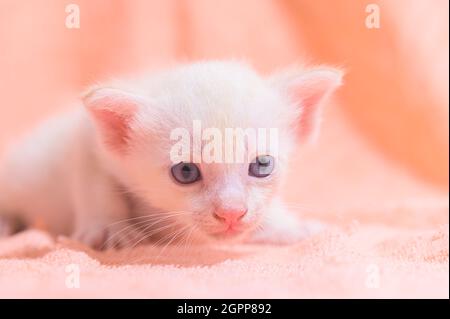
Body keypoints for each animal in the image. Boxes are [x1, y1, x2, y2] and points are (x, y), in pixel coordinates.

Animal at [0, 60, 342, 250]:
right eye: (186, 172)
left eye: (262, 165)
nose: (231, 213)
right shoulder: (86, 138)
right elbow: (95, 183)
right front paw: (110, 228)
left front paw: (290, 226)